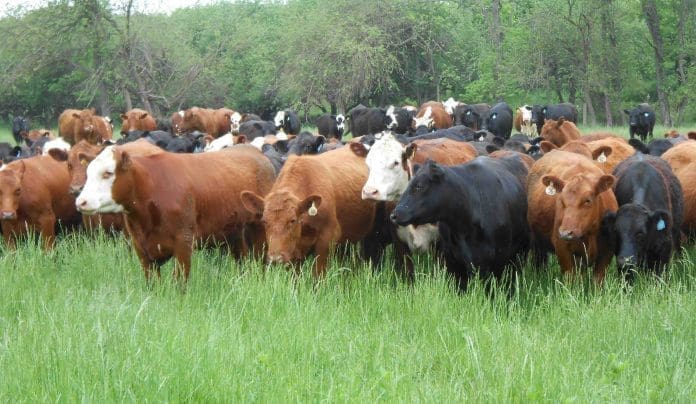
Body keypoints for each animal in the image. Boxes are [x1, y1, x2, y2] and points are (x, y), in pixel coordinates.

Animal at [75, 145, 275, 283]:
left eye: (108, 173)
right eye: (87, 173)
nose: (81, 201)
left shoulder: (183, 242)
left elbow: (179, 282)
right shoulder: (141, 247)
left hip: (260, 233)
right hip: (235, 235)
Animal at [240, 146, 379, 278]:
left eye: (292, 220)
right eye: (264, 221)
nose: (276, 259)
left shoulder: (327, 240)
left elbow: (318, 276)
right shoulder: (295, 251)